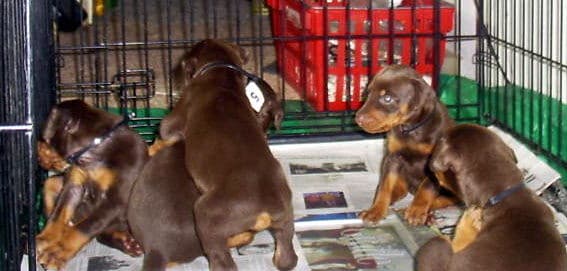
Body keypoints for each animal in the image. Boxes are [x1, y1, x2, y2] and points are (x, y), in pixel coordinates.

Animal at [34, 100, 148, 270]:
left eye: (42, 138)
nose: (38, 158)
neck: (95, 154)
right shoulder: (74, 185)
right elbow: (57, 215)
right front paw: (44, 239)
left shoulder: (117, 200)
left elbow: (84, 228)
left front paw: (57, 253)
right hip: (51, 184)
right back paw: (124, 241)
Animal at [356, 65, 462, 226]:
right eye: (367, 94)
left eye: (387, 98)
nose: (358, 119)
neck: (411, 129)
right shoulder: (392, 157)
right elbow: (384, 186)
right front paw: (376, 210)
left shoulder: (434, 164)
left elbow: (427, 188)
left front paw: (417, 211)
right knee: (397, 188)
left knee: (444, 199)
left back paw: (423, 213)